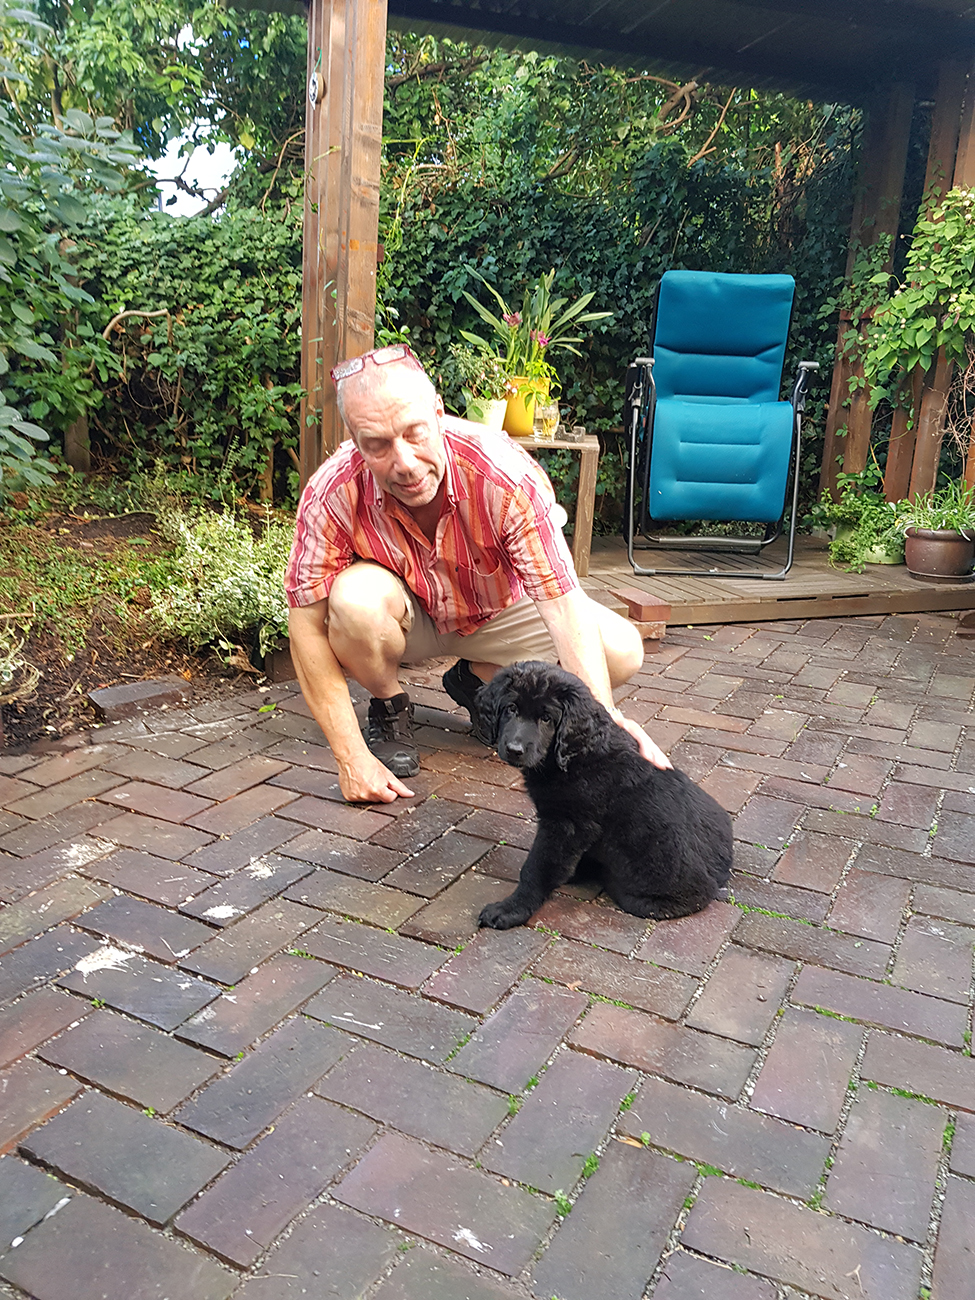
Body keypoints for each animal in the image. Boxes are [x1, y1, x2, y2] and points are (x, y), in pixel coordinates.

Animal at [475, 661, 733, 930]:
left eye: (546, 718)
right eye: (511, 708)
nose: (514, 750)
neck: (574, 757)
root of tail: (719, 876)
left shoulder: (567, 825)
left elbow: (537, 867)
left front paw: (511, 909)